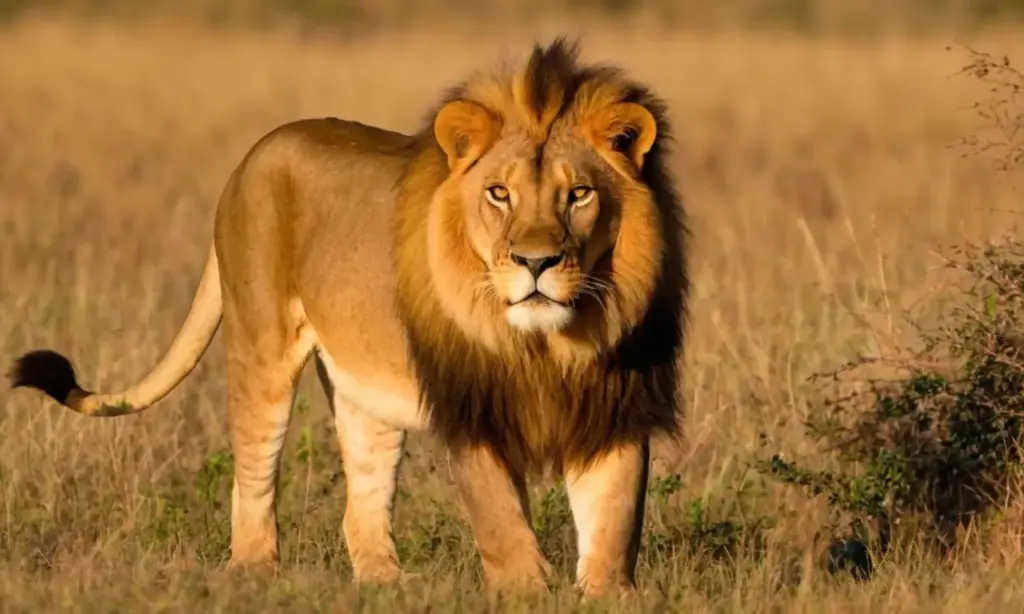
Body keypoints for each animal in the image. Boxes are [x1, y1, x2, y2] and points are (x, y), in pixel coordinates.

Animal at [8, 38, 688, 598]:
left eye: (580, 194)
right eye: (499, 193)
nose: (537, 261)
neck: (546, 346)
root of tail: (250, 157)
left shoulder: (617, 404)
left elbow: (613, 519)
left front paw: (608, 596)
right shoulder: (471, 408)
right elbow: (500, 518)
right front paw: (524, 591)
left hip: (364, 394)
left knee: (361, 495)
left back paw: (388, 582)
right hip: (260, 348)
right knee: (252, 471)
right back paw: (255, 571)